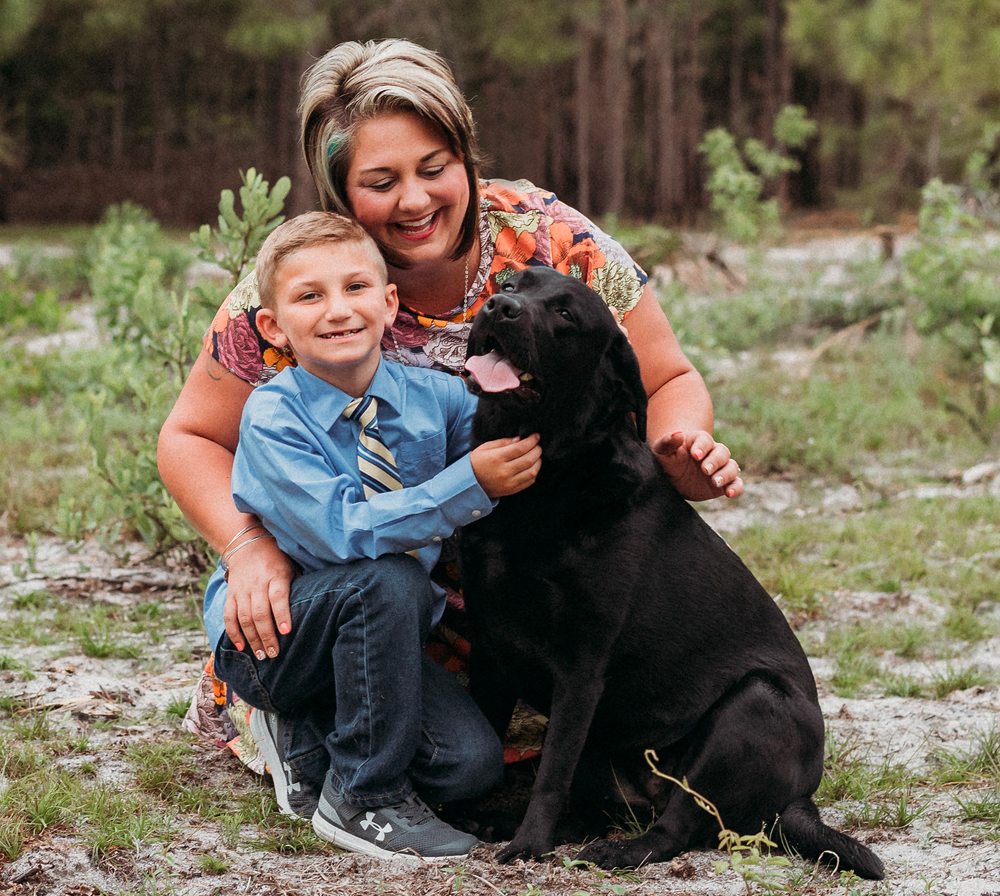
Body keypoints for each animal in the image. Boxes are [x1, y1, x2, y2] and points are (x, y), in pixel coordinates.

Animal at [460, 264, 884, 876]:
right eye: (513, 282)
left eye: (565, 314)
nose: (499, 307)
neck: (550, 478)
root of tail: (802, 800)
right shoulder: (491, 649)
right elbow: (489, 749)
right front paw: (459, 816)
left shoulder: (581, 668)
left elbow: (550, 772)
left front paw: (527, 845)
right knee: (596, 809)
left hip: (756, 705)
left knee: (675, 828)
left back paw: (614, 850)